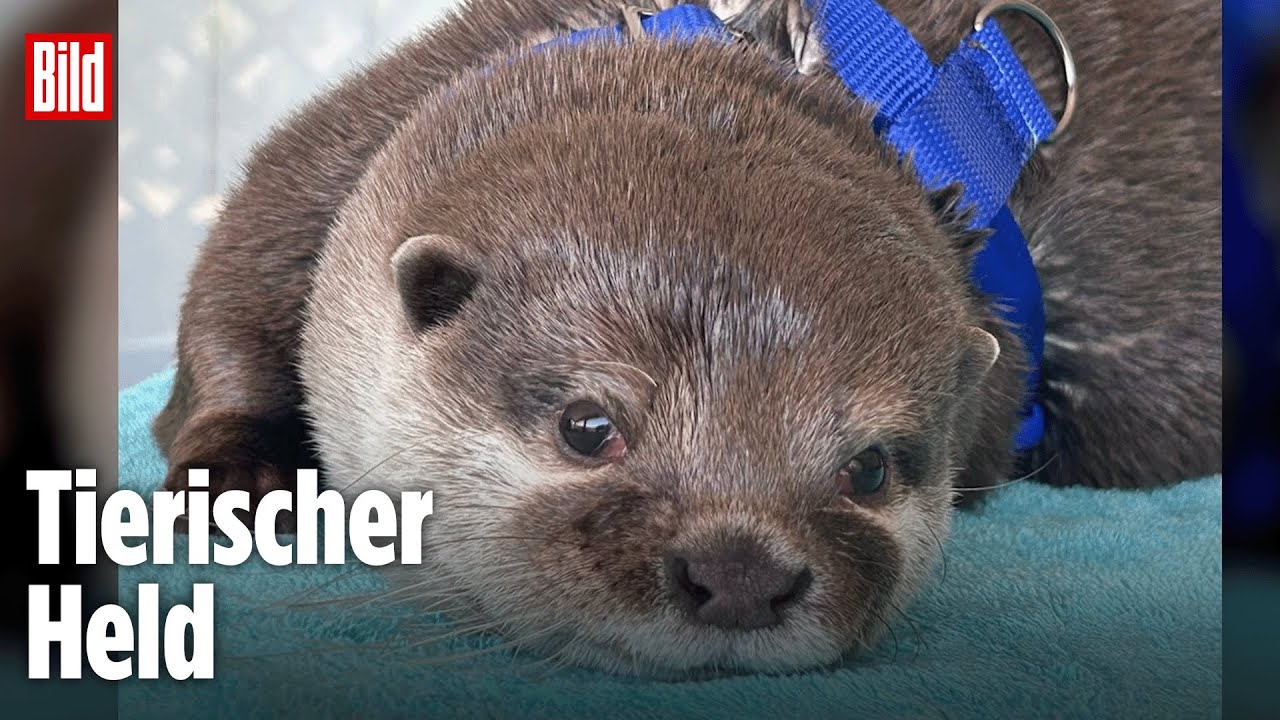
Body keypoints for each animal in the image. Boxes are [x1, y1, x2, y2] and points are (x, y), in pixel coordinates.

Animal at [151, 0, 1221, 676]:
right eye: (589, 426)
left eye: (871, 468)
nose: (742, 573)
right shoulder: (324, 159)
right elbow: (228, 296)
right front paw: (235, 481)